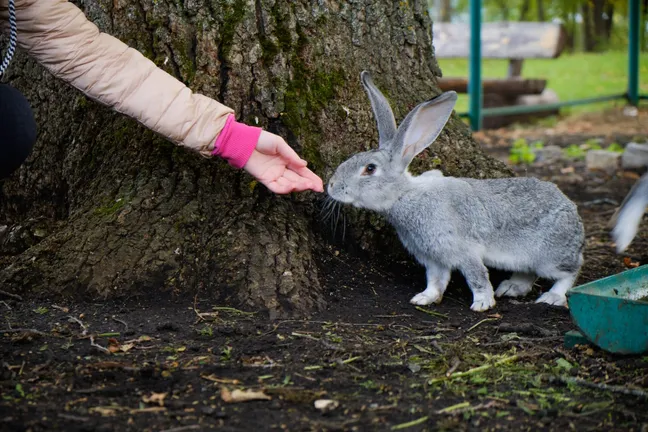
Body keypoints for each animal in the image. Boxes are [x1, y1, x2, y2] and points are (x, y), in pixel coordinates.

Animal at [327, 71, 585, 312]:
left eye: (370, 169)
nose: (331, 186)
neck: (405, 194)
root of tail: (574, 213)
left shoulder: (462, 250)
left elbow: (477, 277)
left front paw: (482, 303)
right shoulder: (434, 258)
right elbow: (436, 281)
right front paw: (424, 298)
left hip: (549, 256)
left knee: (570, 271)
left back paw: (552, 297)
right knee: (528, 272)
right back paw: (512, 287)